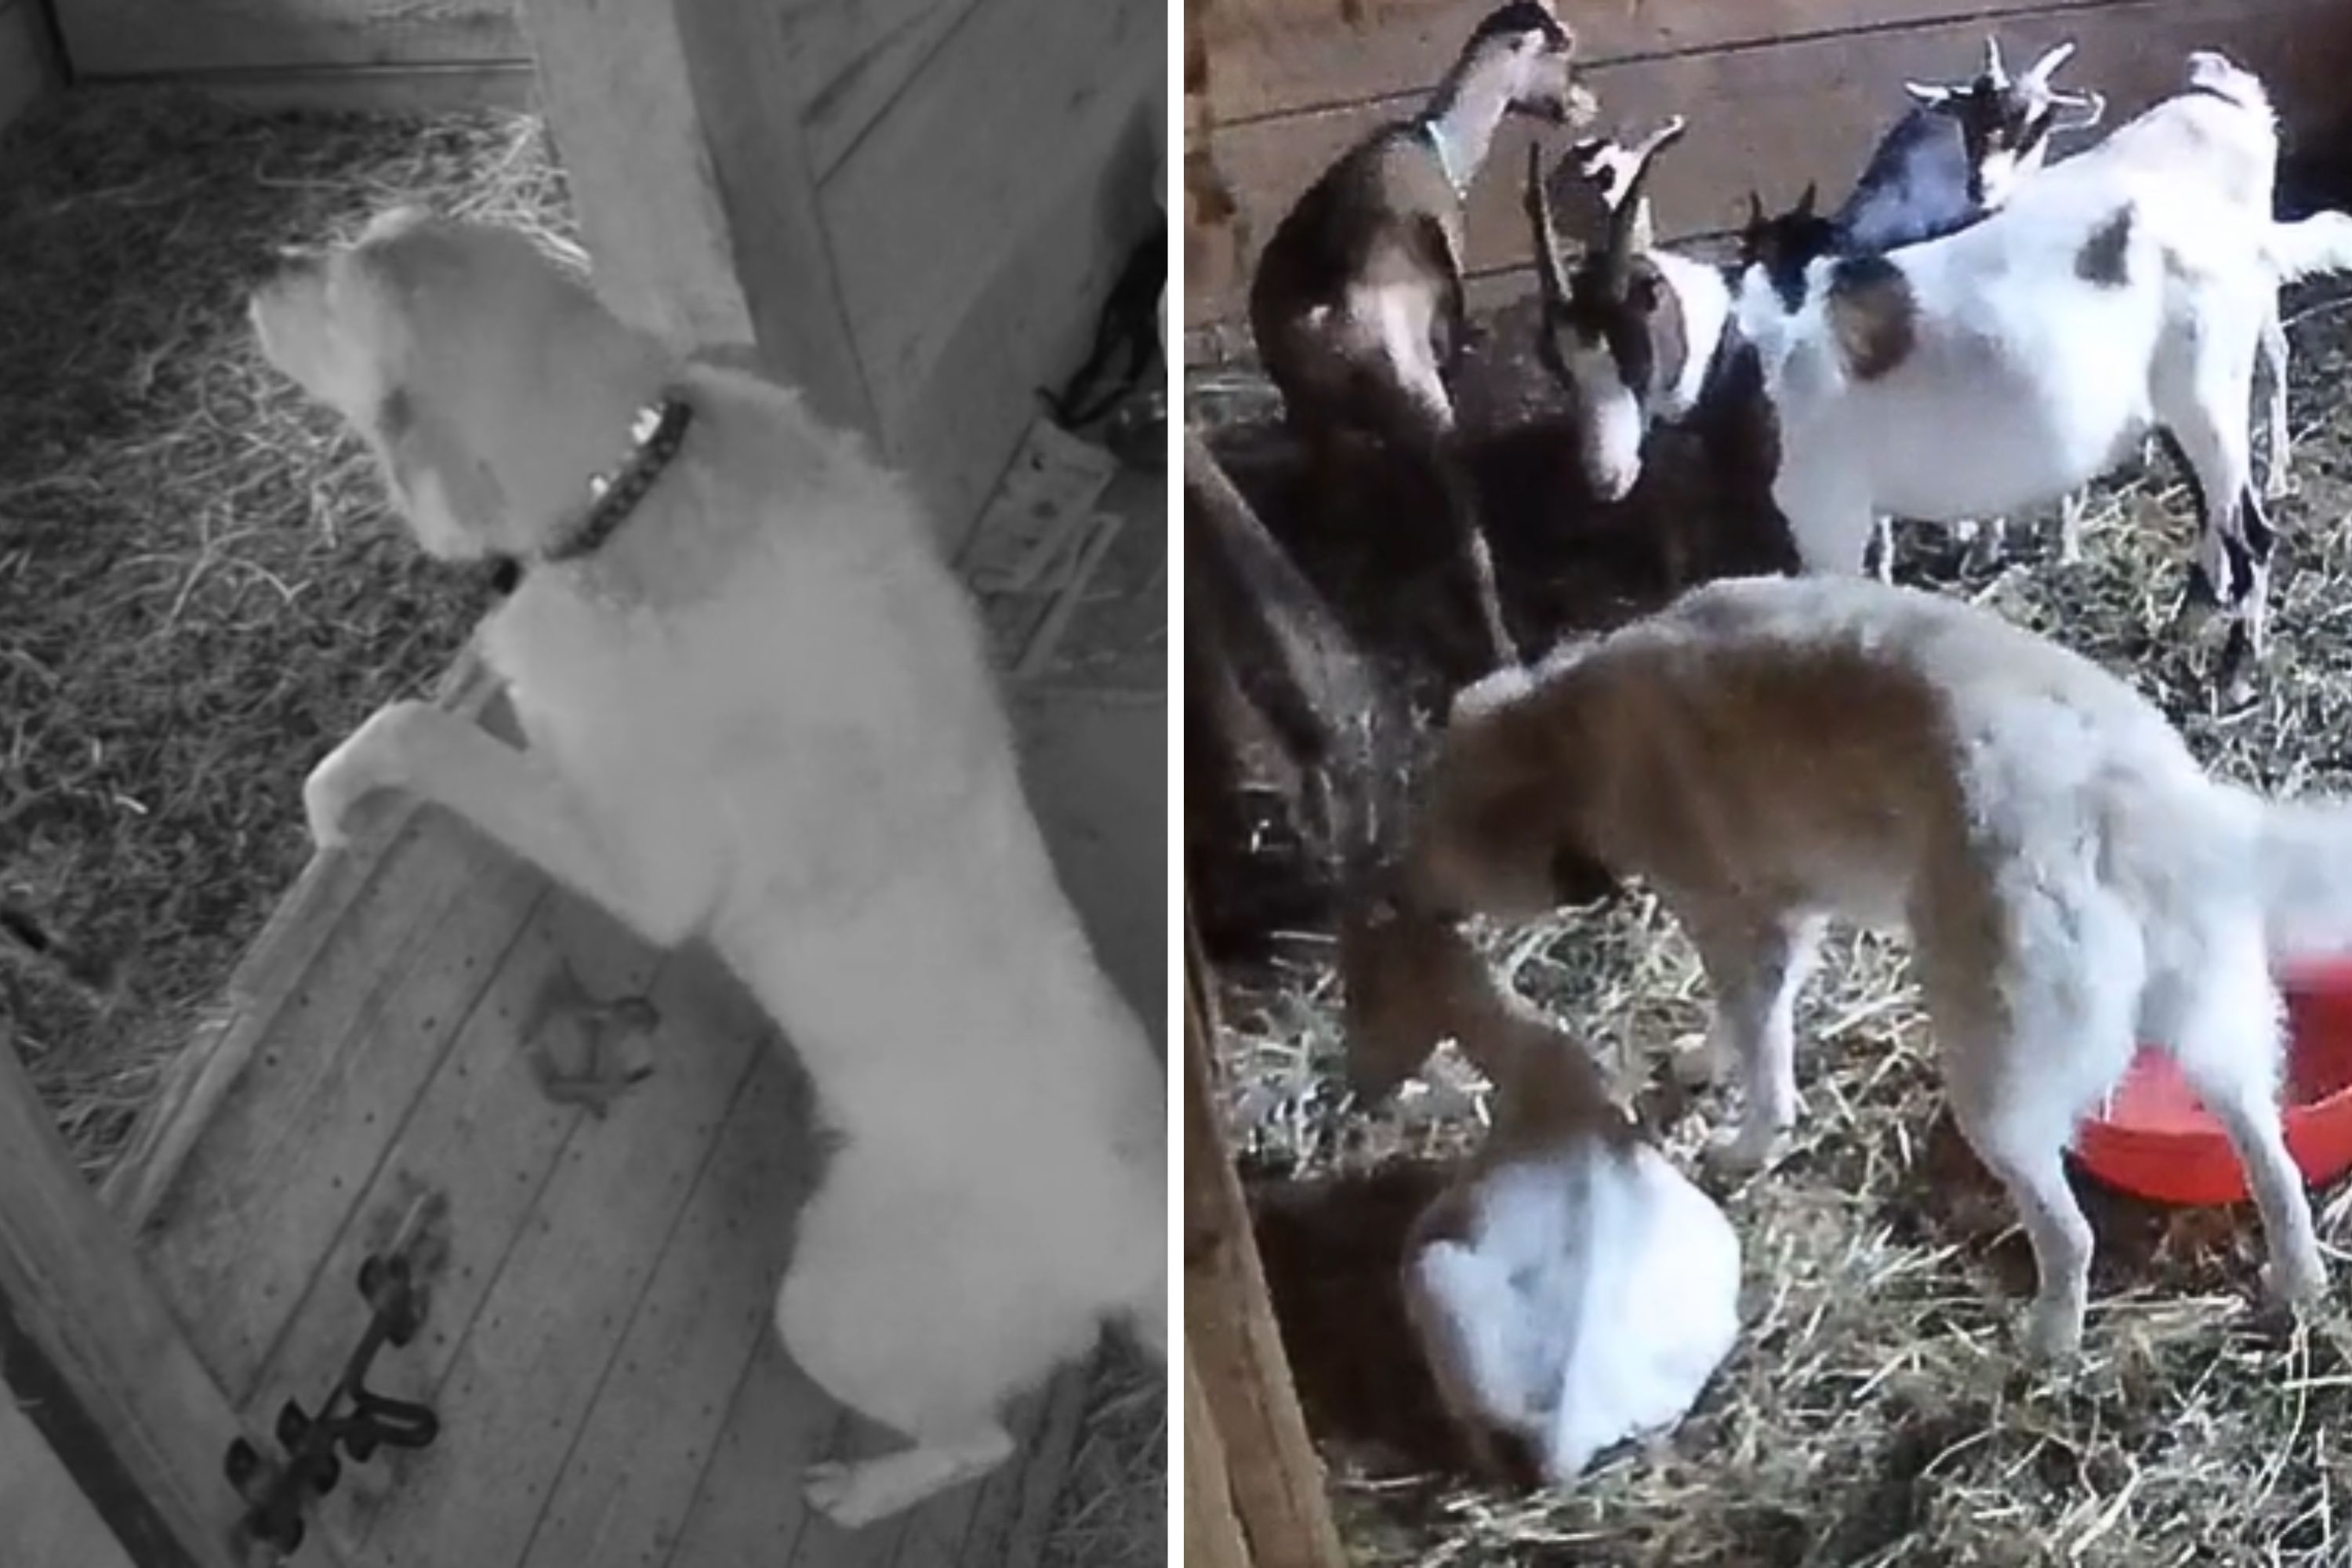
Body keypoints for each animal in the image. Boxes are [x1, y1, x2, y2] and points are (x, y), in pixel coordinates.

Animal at [250, 208, 1167, 1533]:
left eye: (335, 292)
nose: (265, 264)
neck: (632, 484)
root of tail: (1139, 1237)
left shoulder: (642, 863)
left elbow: (423, 726)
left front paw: (339, 787)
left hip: (831, 1308)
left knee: (975, 1442)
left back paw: (859, 1492)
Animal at [1242, 0, 1590, 667]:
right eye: (1562, 53)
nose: (1585, 105)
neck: (1441, 145)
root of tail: (1330, 311)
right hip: (1424, 402)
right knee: (1467, 536)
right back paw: (1503, 647)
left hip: (1310, 409)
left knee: (1328, 510)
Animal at [1524, 53, 2352, 705]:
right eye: (1558, 361)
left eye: (1636, 346)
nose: (1603, 475)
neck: (1755, 345)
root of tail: (2238, 233)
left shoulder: (1830, 519)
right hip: (2178, 403)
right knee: (2216, 512)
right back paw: (2190, 619)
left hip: (2208, 389)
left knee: (2253, 530)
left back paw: (2236, 675)